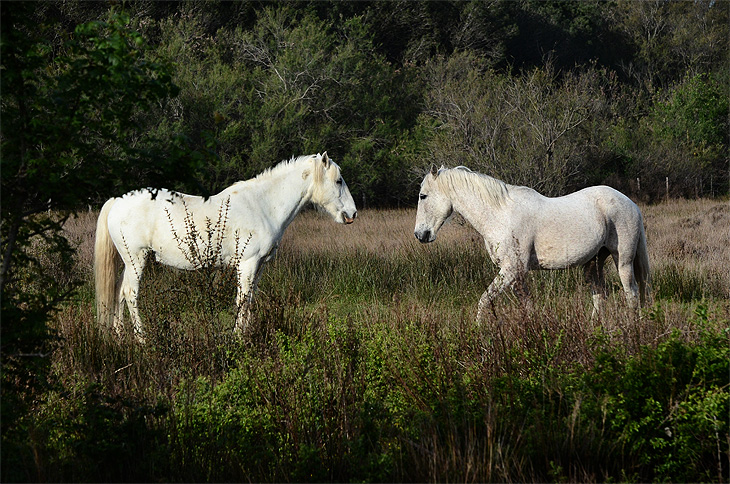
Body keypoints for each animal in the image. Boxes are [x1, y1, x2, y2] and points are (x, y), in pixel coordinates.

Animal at [94, 152, 356, 340]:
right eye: (338, 180)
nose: (352, 214)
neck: (262, 205)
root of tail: (117, 200)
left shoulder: (258, 267)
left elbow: (249, 300)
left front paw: (246, 335)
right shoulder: (247, 265)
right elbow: (241, 300)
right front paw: (238, 339)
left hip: (129, 263)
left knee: (118, 292)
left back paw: (119, 336)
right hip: (137, 259)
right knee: (130, 294)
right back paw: (142, 340)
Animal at [416, 166, 648, 322]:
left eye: (423, 196)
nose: (420, 234)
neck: (501, 215)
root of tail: (631, 204)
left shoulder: (510, 270)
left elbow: (484, 300)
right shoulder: (516, 274)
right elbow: (527, 306)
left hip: (623, 261)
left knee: (632, 293)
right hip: (594, 262)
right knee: (600, 297)